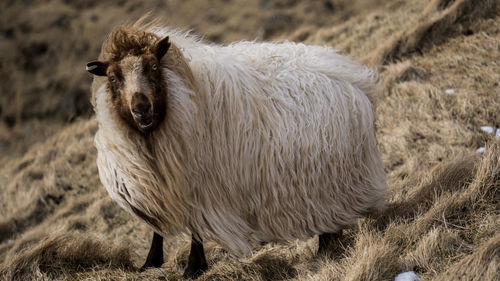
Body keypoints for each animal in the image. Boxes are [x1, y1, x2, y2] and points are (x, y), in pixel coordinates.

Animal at [87, 20, 386, 278]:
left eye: (152, 67)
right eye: (113, 78)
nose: (141, 108)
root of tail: (356, 77)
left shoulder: (201, 184)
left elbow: (196, 228)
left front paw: (193, 267)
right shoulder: (159, 180)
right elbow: (156, 229)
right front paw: (150, 263)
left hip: (332, 179)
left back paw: (327, 247)